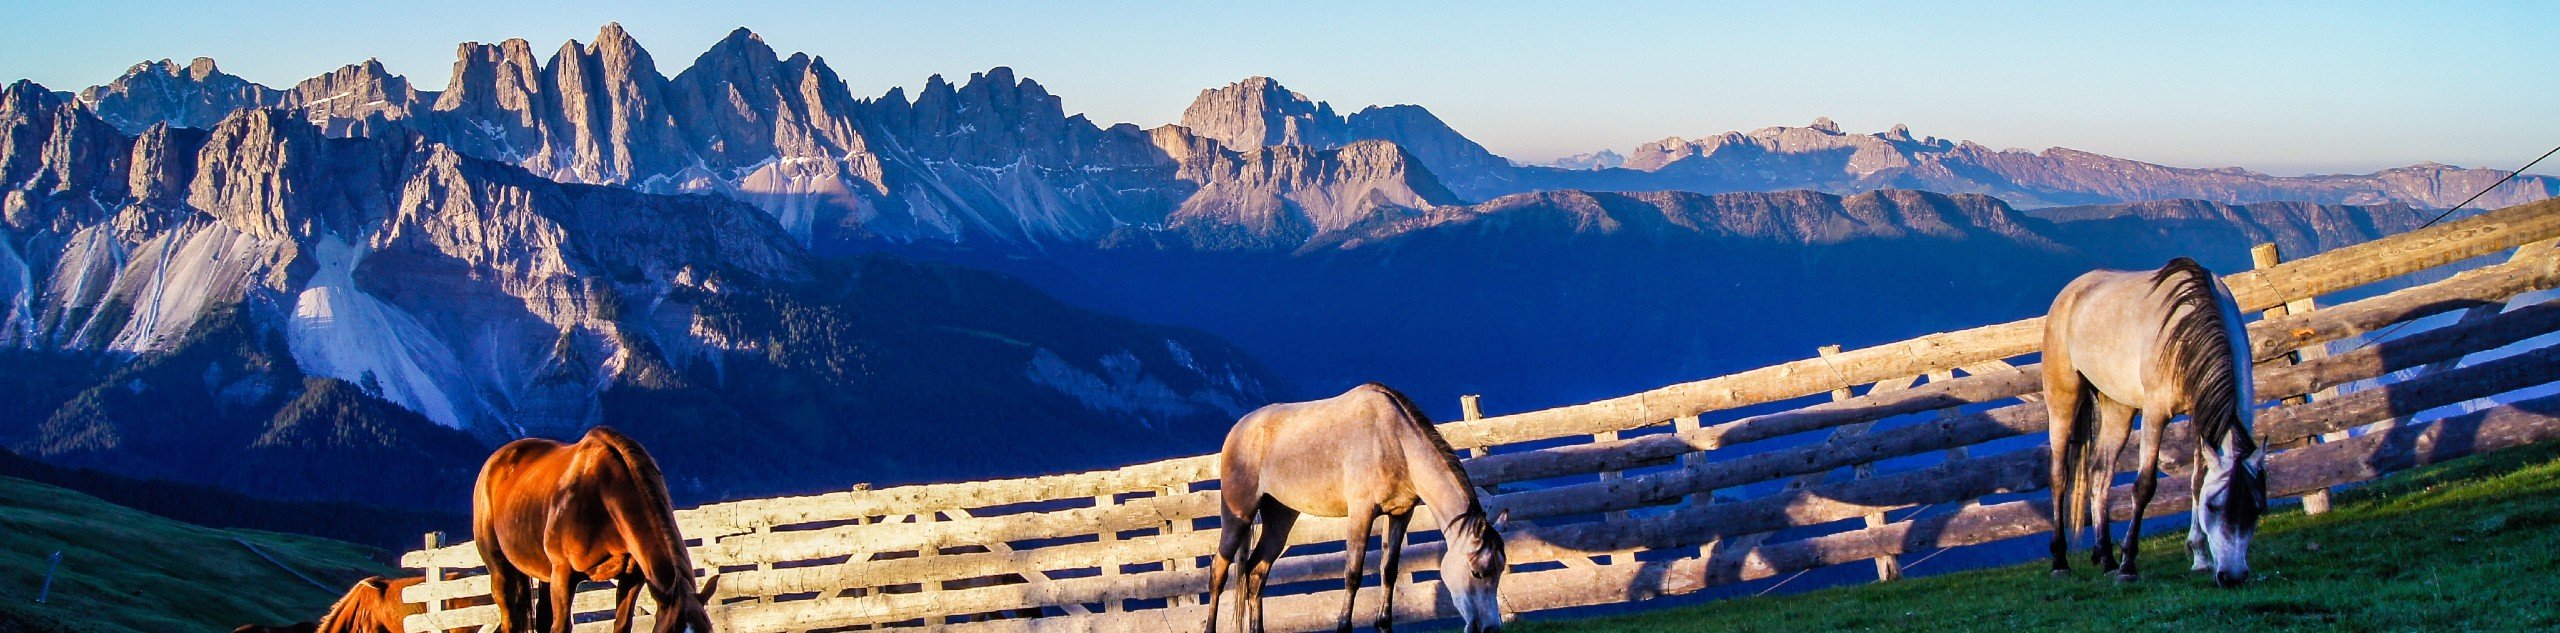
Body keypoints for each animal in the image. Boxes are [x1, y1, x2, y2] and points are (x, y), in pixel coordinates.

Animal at [471, 425, 706, 633]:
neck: (607, 495)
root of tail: (495, 461)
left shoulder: (632, 578)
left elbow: (622, 625)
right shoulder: (563, 575)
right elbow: (561, 627)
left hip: (545, 572)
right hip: (500, 569)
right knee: (509, 619)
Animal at [1198, 384, 1495, 633]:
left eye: (1499, 569)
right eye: (1476, 573)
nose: (1491, 627)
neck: (1393, 438)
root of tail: (1237, 430)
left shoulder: (1400, 514)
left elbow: (1389, 570)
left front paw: (1384, 624)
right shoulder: (1361, 514)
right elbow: (1353, 574)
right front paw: (1343, 625)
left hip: (1280, 518)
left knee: (1256, 572)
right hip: (1239, 515)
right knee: (1218, 572)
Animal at [2048, 257, 2273, 589]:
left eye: (2256, 509)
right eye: (2214, 507)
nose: (2232, 576)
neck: (2189, 329)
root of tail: (2071, 292)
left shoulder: (2200, 416)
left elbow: (2197, 482)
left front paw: (2200, 557)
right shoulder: (2155, 414)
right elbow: (2144, 486)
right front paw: (2129, 566)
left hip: (2118, 407)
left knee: (2100, 473)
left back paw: (2107, 559)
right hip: (2062, 400)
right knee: (2059, 477)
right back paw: (2061, 561)